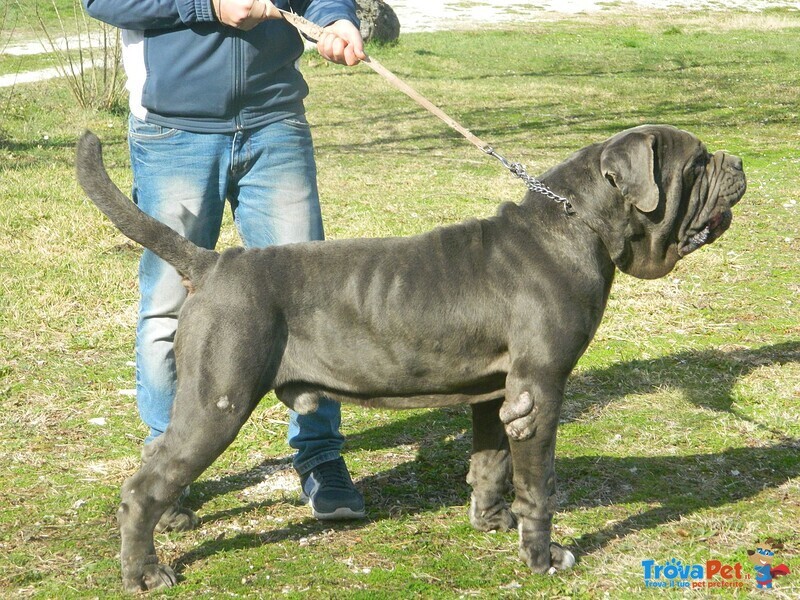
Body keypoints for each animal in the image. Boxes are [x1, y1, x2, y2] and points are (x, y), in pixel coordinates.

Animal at [75, 123, 744, 592]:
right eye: (697, 161)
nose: (736, 163)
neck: (578, 225)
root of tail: (213, 262)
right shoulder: (540, 389)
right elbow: (539, 485)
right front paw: (542, 557)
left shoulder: (498, 392)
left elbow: (491, 464)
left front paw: (491, 522)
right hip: (218, 400)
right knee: (141, 485)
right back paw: (144, 572)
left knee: (154, 463)